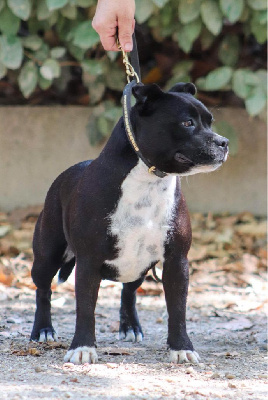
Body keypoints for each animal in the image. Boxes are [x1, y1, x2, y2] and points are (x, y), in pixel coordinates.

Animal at [30, 83, 228, 364]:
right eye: (187, 123)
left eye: (210, 122)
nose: (224, 142)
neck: (148, 181)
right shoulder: (89, 261)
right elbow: (85, 308)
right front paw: (82, 348)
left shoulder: (177, 261)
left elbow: (178, 309)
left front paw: (181, 348)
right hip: (47, 256)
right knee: (43, 290)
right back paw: (43, 330)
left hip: (139, 265)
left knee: (129, 291)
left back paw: (130, 326)